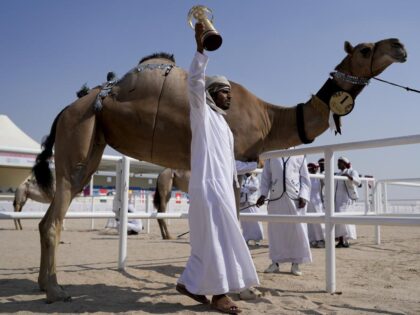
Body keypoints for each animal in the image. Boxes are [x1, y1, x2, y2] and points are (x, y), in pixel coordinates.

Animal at [32, 38, 406, 302]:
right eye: (365, 48)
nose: (399, 45)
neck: (270, 117)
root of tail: (67, 108)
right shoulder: (233, 157)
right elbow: (235, 219)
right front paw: (245, 287)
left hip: (92, 142)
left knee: (49, 216)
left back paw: (41, 284)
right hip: (81, 132)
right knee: (54, 219)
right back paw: (55, 290)